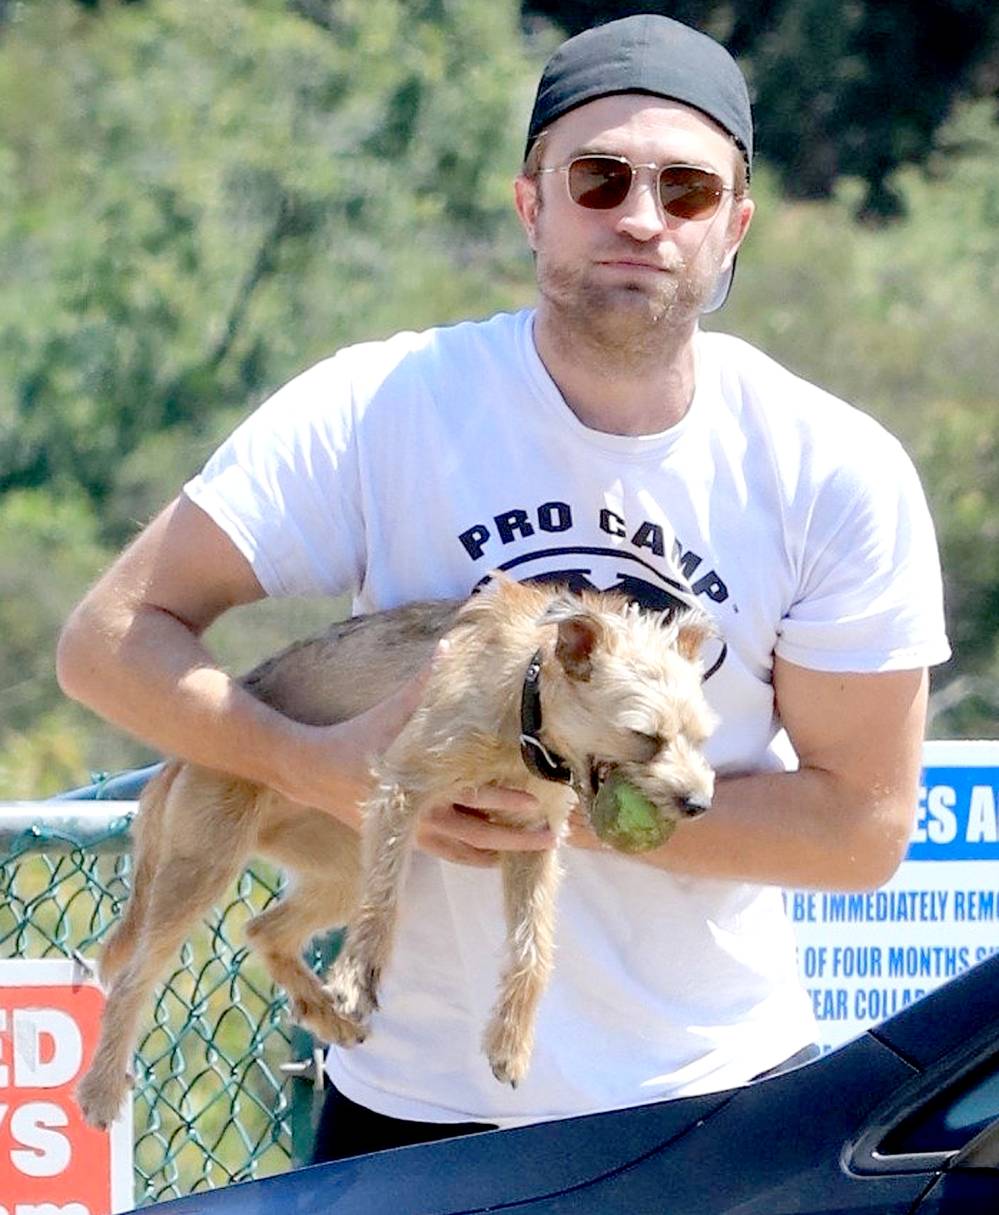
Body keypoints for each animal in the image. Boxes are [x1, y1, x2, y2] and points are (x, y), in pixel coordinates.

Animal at [78, 578, 719, 1127]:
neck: (522, 691)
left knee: (263, 928)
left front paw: (509, 1042)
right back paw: (103, 1087)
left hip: (340, 869)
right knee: (134, 976)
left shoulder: (531, 840)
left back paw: (321, 1010)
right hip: (203, 866)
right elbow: (383, 908)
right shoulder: (401, 791)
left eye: (700, 738)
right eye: (645, 736)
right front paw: (358, 979)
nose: (699, 804)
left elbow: (531, 948)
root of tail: (178, 759)